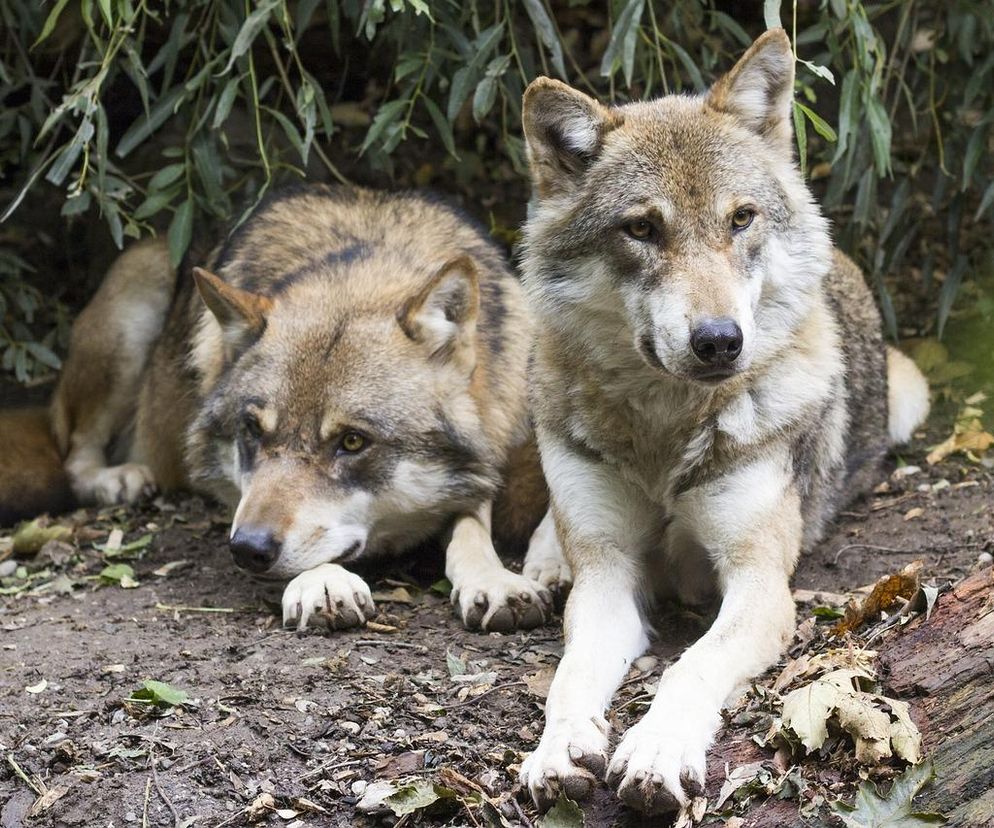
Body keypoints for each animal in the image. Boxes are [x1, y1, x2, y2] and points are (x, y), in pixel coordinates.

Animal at [1, 184, 572, 632]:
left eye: (352, 441)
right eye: (252, 432)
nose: (247, 548)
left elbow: (479, 520)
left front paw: (500, 577)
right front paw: (322, 584)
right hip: (135, 298)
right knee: (73, 454)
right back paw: (117, 478)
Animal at [516, 27, 928, 816]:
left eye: (741, 218)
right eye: (641, 228)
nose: (718, 341)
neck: (663, 433)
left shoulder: (759, 581)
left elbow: (691, 667)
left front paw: (656, 750)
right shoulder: (609, 577)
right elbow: (570, 676)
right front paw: (558, 749)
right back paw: (540, 567)